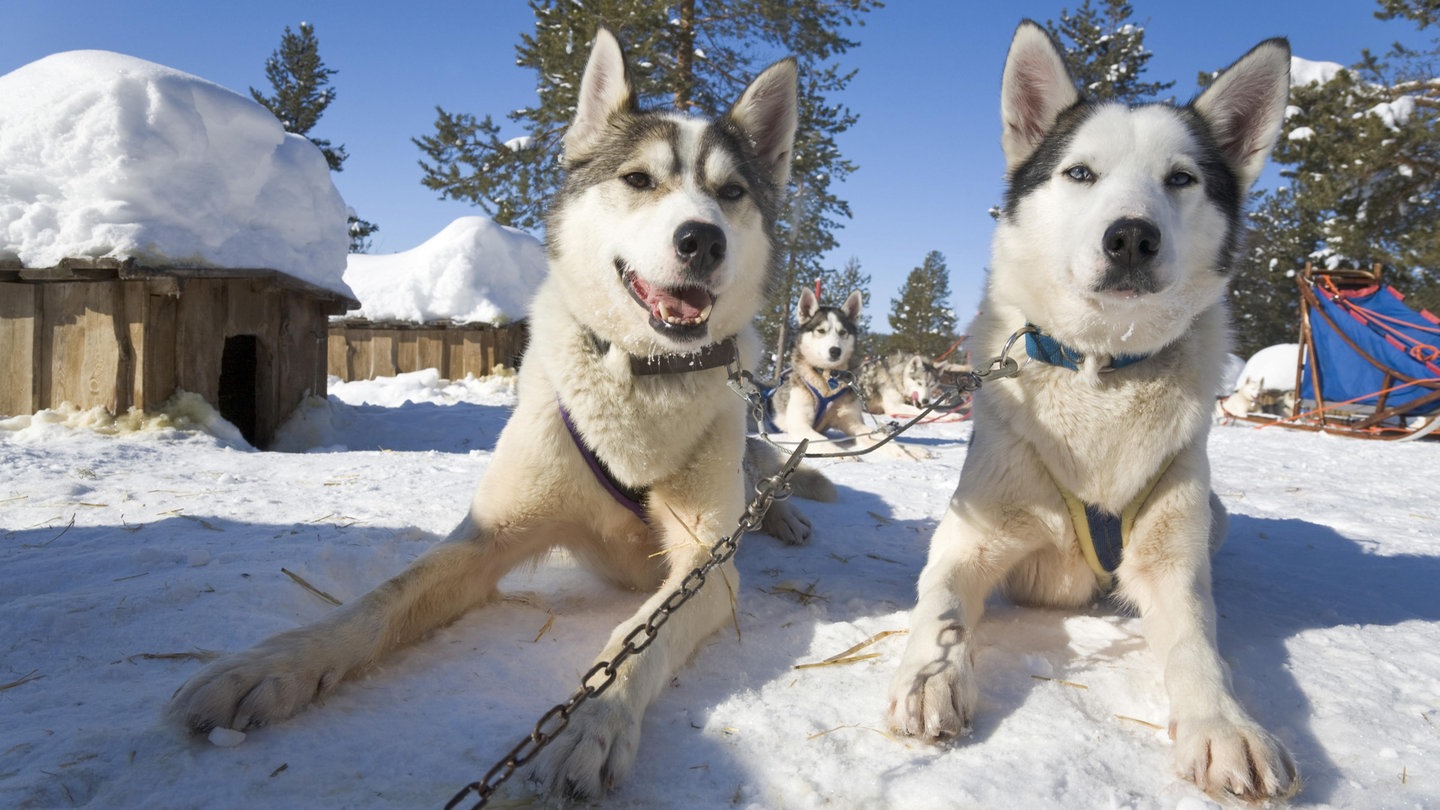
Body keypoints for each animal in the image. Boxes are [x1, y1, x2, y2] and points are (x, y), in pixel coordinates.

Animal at [172, 29, 806, 795]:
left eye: (731, 193)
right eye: (638, 180)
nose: (702, 239)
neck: (641, 380)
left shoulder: (706, 566)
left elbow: (634, 642)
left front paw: (593, 721)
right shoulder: (487, 537)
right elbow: (382, 599)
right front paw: (273, 664)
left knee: (770, 475)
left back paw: (790, 516)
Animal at [766, 286, 921, 458]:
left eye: (842, 332)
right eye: (821, 331)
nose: (835, 351)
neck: (828, 379)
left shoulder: (854, 422)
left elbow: (881, 439)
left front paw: (903, 451)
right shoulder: (800, 425)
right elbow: (820, 440)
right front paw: (839, 454)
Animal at [881, 20, 1301, 801]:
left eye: (1181, 178)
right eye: (1080, 174)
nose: (1132, 235)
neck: (1102, 371)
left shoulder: (1170, 563)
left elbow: (1198, 646)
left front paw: (1224, 726)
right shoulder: (970, 538)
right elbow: (942, 605)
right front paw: (931, 675)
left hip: (1212, 516)